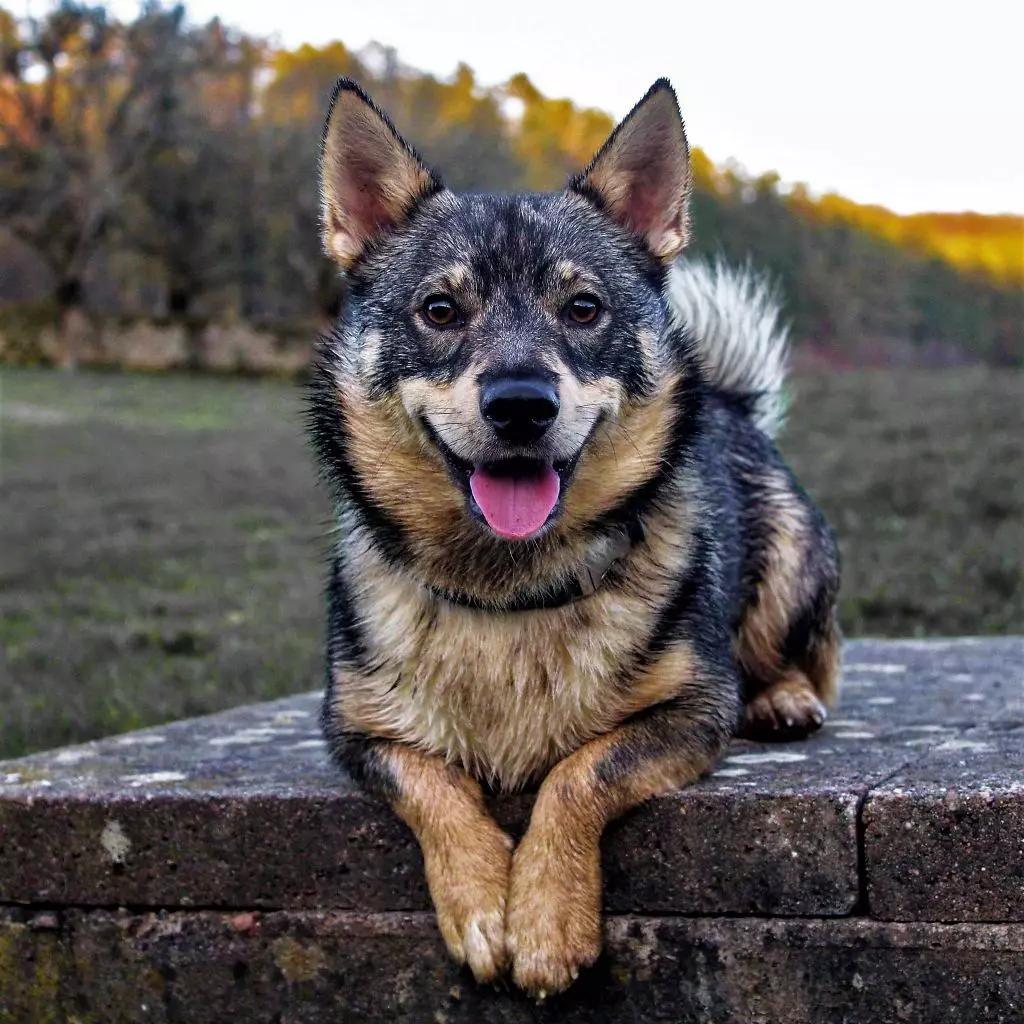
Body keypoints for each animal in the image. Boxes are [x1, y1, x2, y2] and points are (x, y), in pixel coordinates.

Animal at [305, 74, 839, 999]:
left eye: (583, 308)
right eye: (439, 309)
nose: (521, 403)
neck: (508, 588)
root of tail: (730, 402)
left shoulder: (695, 709)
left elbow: (581, 770)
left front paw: (547, 918)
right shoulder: (355, 730)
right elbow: (432, 783)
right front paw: (482, 901)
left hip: (791, 572)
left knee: (804, 656)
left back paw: (782, 697)